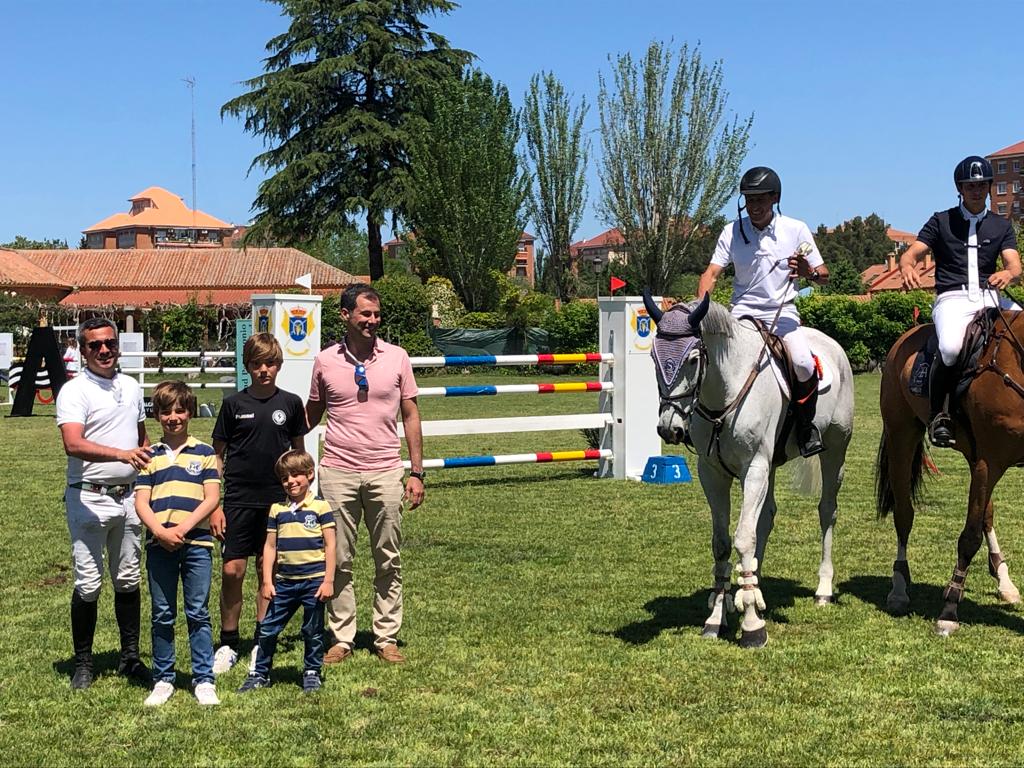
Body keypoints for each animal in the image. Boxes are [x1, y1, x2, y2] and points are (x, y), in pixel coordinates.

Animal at [647, 294, 856, 651]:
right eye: (652, 356)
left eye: (692, 359)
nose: (669, 429)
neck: (725, 391)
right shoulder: (712, 473)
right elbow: (722, 542)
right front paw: (718, 615)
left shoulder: (754, 467)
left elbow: (744, 537)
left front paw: (752, 625)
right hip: (770, 466)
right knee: (767, 517)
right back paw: (755, 587)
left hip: (834, 451)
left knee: (827, 511)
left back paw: (823, 590)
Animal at [872, 313, 1024, 638]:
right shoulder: (989, 462)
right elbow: (968, 538)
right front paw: (949, 611)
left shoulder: (984, 462)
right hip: (902, 435)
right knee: (904, 514)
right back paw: (899, 588)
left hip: (972, 456)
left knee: (986, 515)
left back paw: (1004, 581)